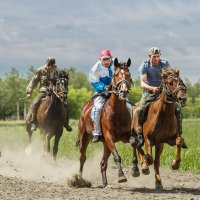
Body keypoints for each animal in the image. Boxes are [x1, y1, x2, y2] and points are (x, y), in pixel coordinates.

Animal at [76, 57, 141, 188]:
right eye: (116, 75)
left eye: (128, 74)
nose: (123, 91)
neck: (117, 111)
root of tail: (85, 108)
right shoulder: (109, 136)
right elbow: (117, 155)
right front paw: (121, 175)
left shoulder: (125, 135)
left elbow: (134, 142)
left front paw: (135, 169)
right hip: (84, 137)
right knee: (82, 157)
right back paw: (79, 179)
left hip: (105, 144)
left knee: (102, 163)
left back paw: (105, 183)